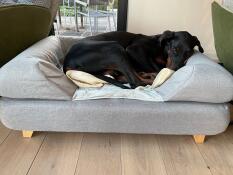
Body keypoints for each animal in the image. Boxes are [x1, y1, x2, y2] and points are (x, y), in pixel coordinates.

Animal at [62, 30, 203, 89]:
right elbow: (156, 67)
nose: (176, 70)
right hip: (115, 49)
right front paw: (157, 72)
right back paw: (149, 77)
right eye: (174, 50)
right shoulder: (134, 50)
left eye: (189, 53)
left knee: (125, 77)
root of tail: (66, 61)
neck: (161, 48)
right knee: (135, 82)